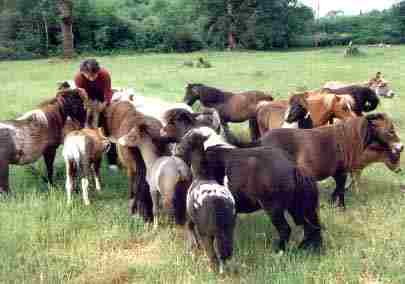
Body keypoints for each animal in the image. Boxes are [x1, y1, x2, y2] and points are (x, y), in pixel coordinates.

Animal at [161, 112, 322, 252]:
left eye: (172, 122)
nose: (161, 133)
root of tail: (293, 166)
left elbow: (191, 224)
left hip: (273, 206)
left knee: (286, 229)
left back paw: (279, 251)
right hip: (295, 205)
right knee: (309, 226)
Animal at [175, 128, 235, 272]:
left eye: (185, 141)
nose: (175, 150)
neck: (202, 175)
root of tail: (218, 204)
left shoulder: (192, 217)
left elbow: (189, 226)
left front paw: (193, 247)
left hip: (206, 232)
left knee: (212, 254)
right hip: (227, 230)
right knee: (225, 252)